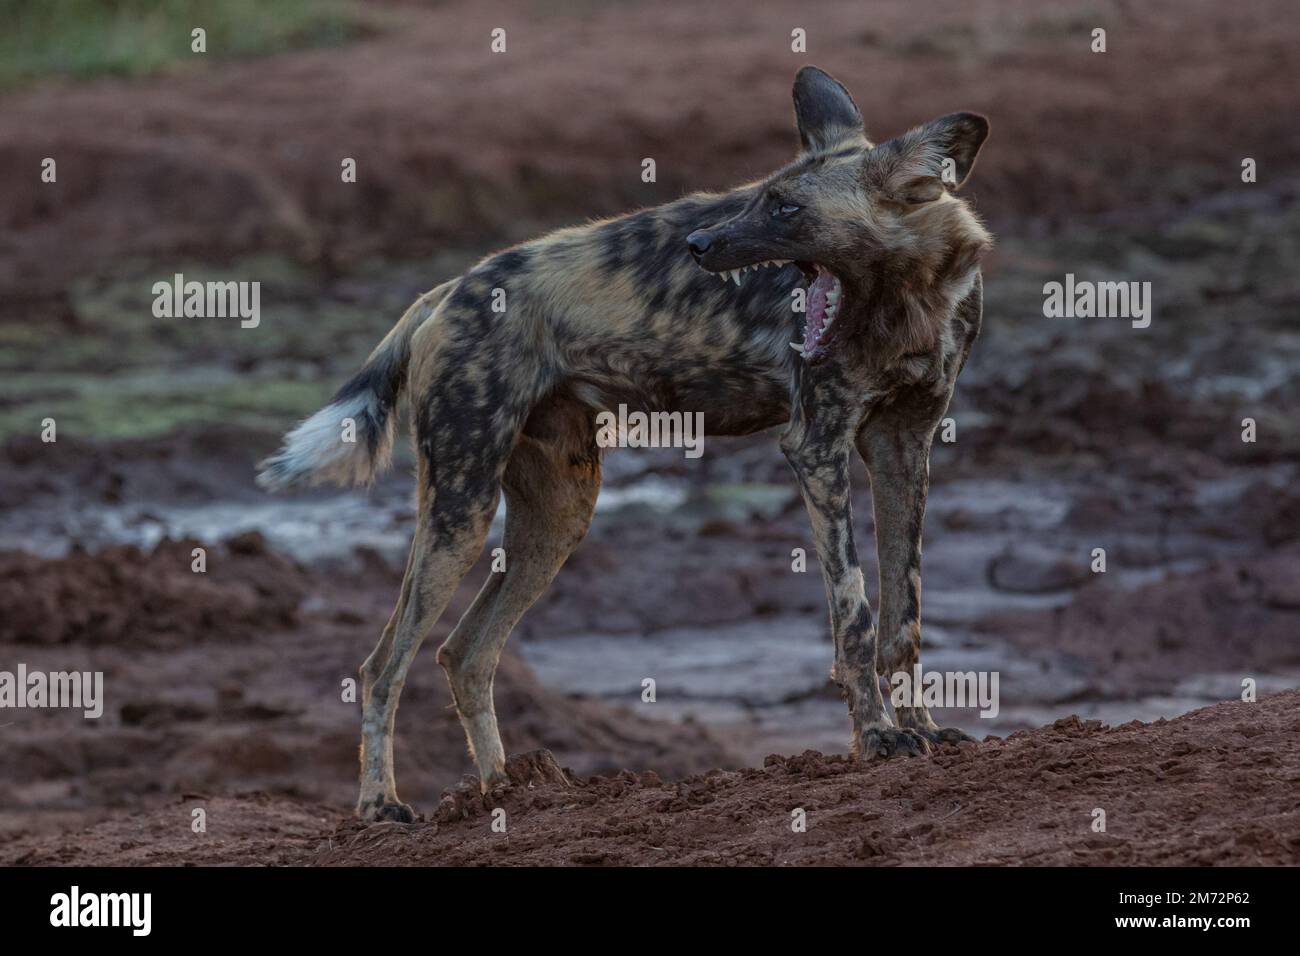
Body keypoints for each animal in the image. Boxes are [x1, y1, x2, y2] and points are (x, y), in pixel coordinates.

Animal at [258, 65, 987, 822]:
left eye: (786, 209)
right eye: (761, 196)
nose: (699, 245)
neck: (906, 299)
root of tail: (447, 290)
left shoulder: (905, 449)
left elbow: (903, 615)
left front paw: (924, 729)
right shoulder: (818, 449)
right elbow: (856, 614)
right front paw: (877, 737)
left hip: (560, 515)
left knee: (465, 653)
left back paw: (508, 792)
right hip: (462, 508)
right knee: (382, 666)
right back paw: (382, 806)